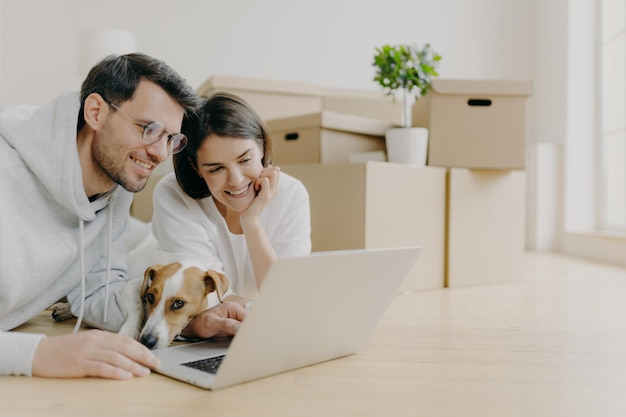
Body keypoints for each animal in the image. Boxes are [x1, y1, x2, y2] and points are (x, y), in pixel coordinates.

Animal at [53, 260, 229, 348]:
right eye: (150, 297)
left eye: (179, 303)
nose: (147, 341)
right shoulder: (128, 288)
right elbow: (138, 308)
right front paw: (129, 332)